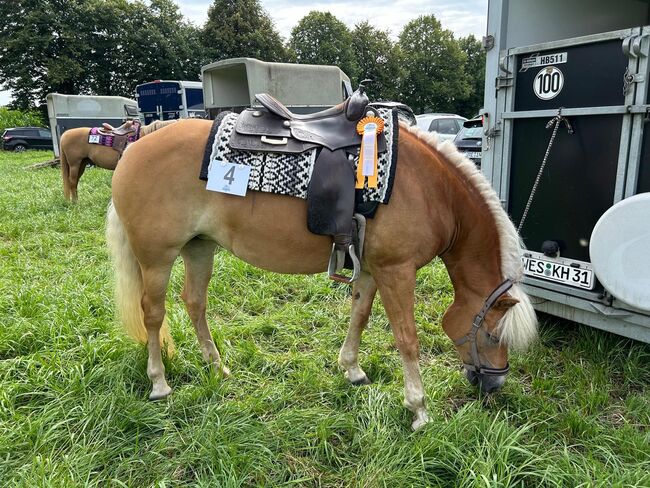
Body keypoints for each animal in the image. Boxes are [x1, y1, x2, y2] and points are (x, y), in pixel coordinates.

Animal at [106, 117, 536, 428]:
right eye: (492, 334)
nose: (495, 384)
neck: (431, 190)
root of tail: (136, 145)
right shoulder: (397, 271)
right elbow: (407, 339)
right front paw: (418, 409)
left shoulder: (372, 269)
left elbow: (360, 315)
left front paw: (352, 370)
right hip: (157, 259)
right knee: (153, 314)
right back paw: (159, 383)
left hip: (199, 247)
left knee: (195, 303)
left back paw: (218, 367)